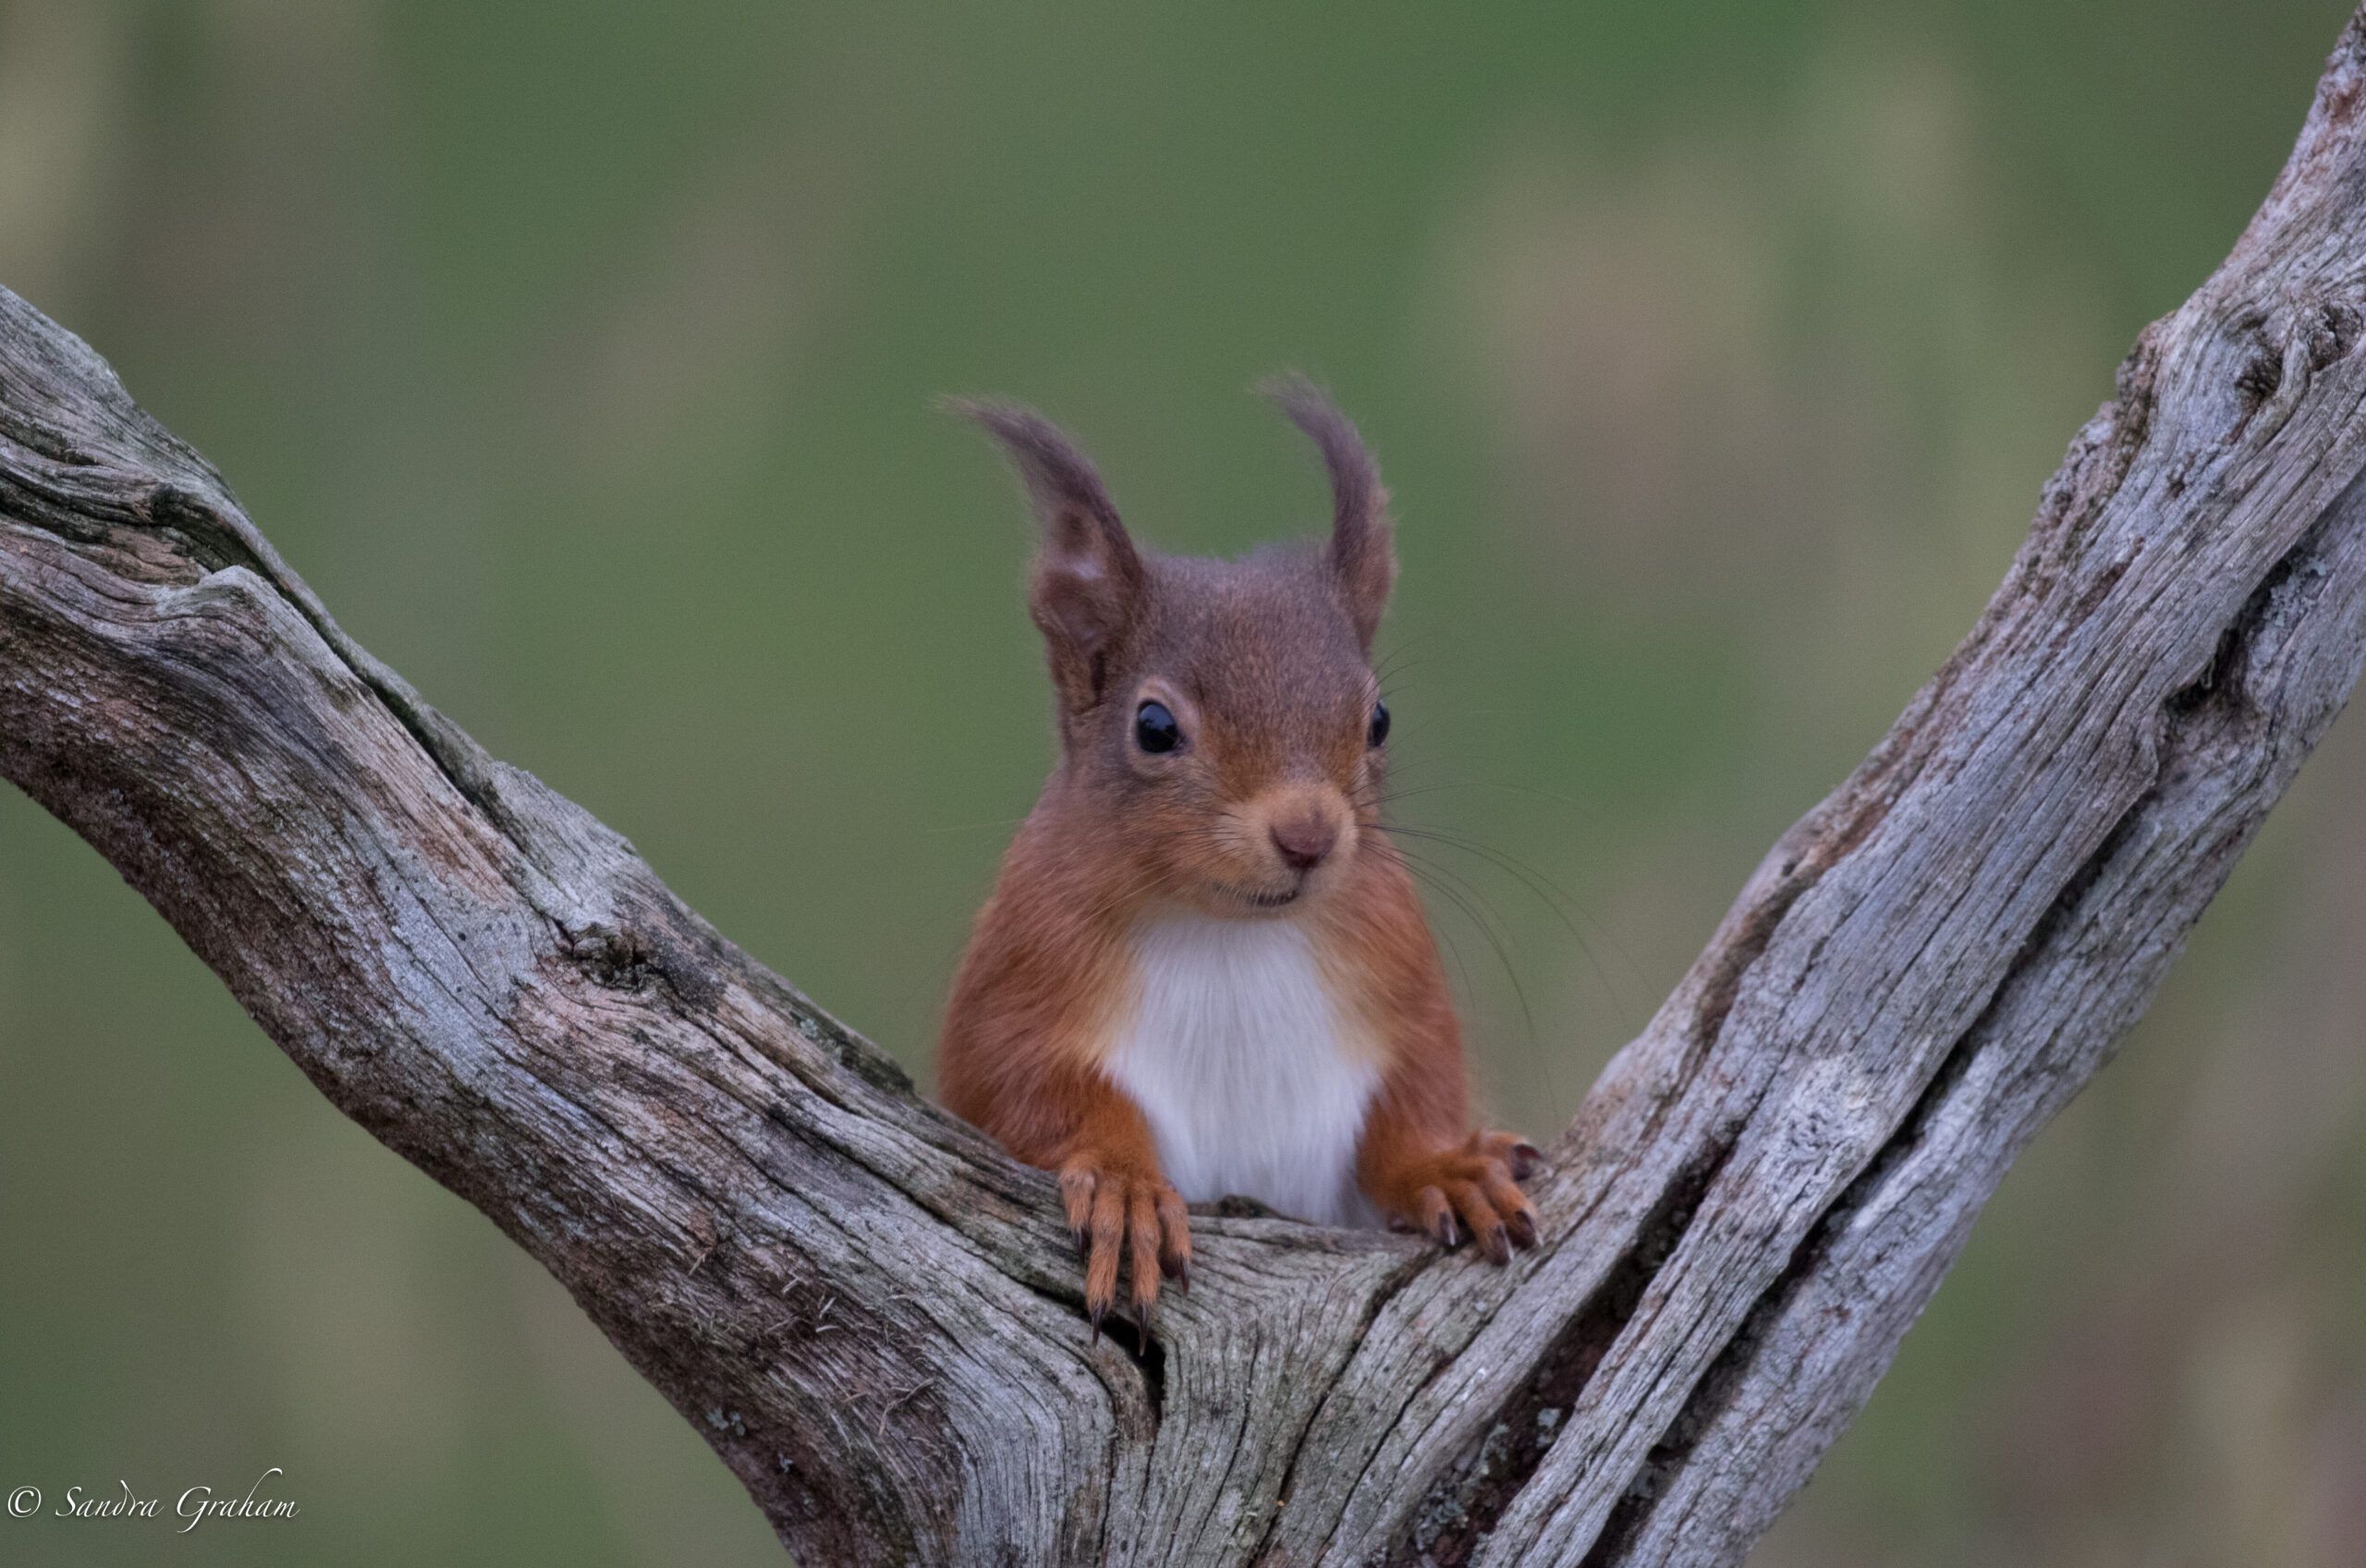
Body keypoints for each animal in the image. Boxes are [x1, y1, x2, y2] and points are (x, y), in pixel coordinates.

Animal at [932, 378, 1543, 1324]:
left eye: (1379, 718)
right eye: (1153, 727)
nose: (1309, 835)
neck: (1228, 933)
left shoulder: (1399, 981)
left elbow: (1413, 1093)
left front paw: (1449, 1166)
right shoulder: (1016, 987)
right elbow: (1028, 1094)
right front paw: (1125, 1185)